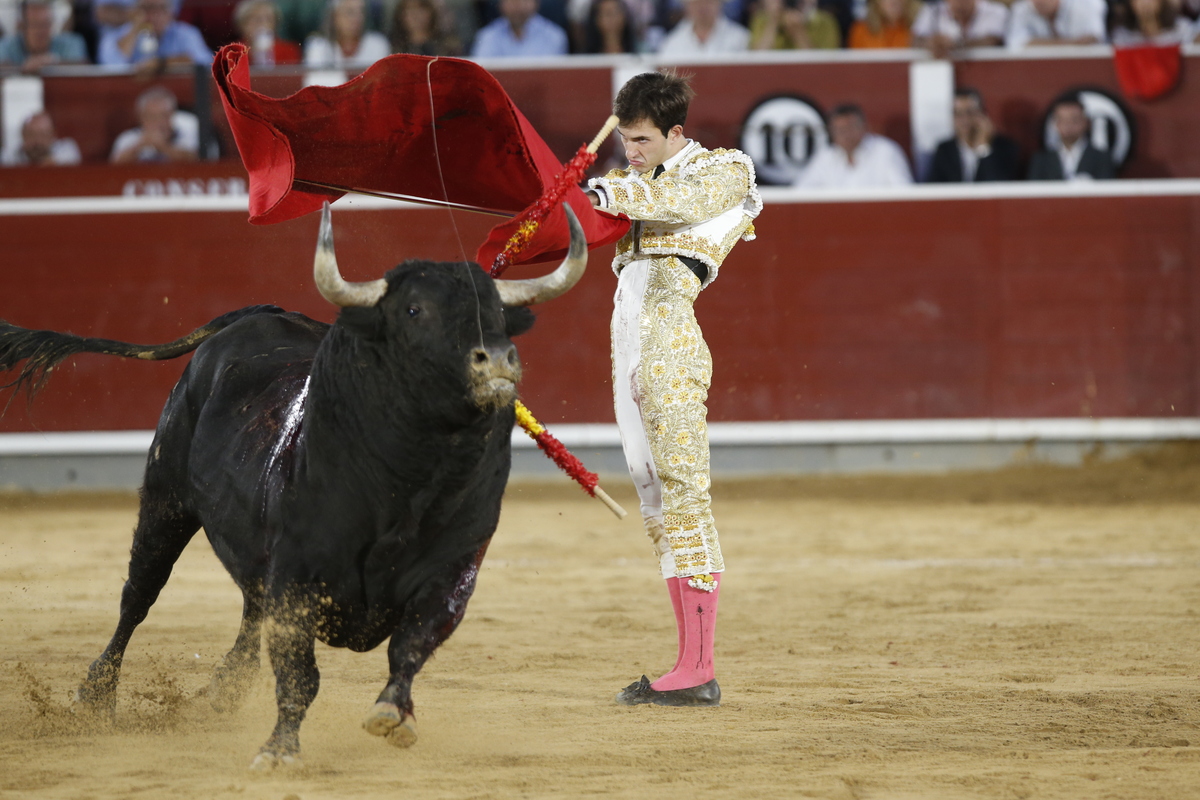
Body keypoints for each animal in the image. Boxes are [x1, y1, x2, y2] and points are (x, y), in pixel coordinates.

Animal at [0, 203, 590, 767]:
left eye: (499, 315)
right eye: (413, 310)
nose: (498, 361)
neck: (408, 481)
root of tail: (265, 314)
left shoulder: (450, 573)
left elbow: (412, 643)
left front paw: (393, 713)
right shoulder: (298, 578)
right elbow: (299, 672)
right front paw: (279, 749)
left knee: (247, 605)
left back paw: (223, 691)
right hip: (166, 501)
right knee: (139, 595)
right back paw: (95, 697)